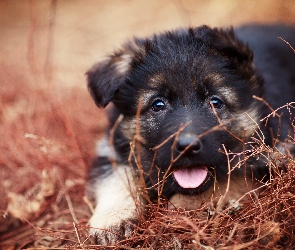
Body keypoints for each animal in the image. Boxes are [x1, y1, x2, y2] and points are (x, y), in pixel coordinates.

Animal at [85, 24, 295, 244]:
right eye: (157, 104)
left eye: (215, 102)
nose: (187, 146)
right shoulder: (112, 150)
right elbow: (115, 179)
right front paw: (113, 219)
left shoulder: (272, 157)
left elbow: (226, 180)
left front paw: (179, 211)